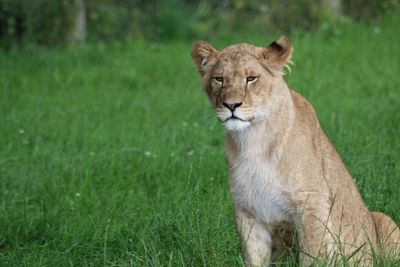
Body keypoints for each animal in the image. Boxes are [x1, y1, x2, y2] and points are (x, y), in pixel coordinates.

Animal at [191, 37, 400, 266]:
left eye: (251, 78)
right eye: (219, 79)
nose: (231, 105)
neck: (253, 139)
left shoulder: (311, 207)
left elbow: (312, 258)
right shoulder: (247, 212)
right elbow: (254, 259)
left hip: (385, 221)